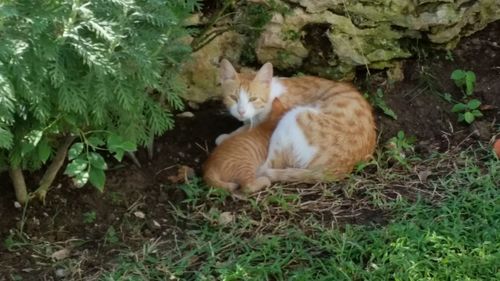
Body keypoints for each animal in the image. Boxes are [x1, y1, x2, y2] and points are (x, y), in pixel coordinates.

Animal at [219, 58, 376, 183]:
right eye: (233, 98)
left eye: (253, 99)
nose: (241, 111)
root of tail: (338, 170)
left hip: (293, 117)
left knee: (268, 165)